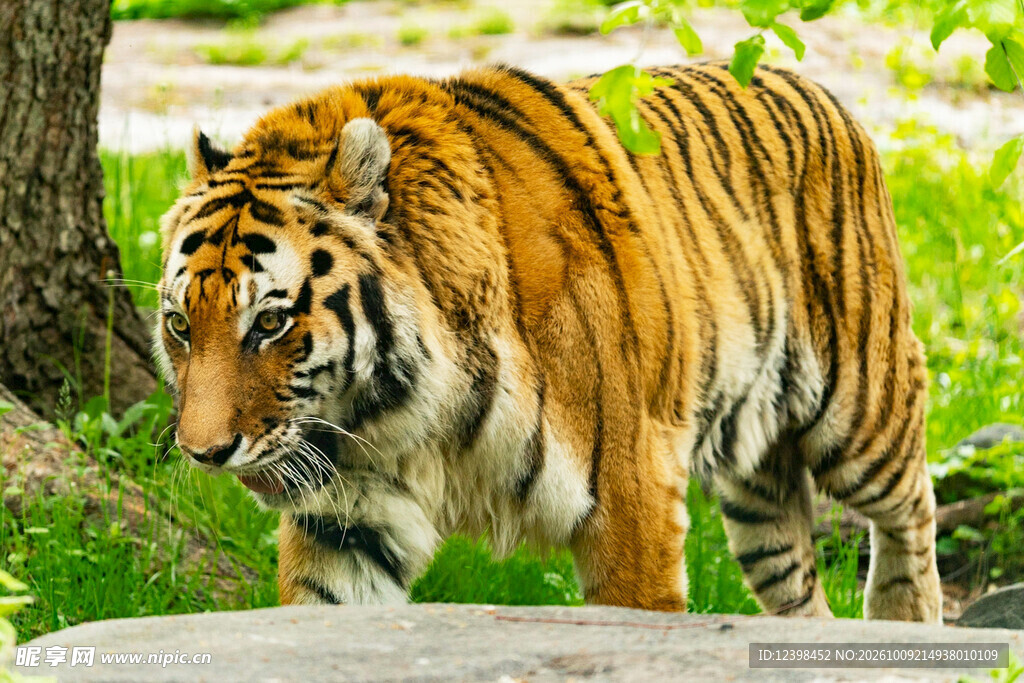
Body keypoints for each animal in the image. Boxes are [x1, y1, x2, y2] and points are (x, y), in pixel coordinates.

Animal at [156, 61, 942, 621]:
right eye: (179, 325)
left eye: (271, 322)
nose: (202, 452)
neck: (399, 413)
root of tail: (807, 83)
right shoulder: (345, 522)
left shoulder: (634, 497)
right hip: (757, 488)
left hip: (860, 409)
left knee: (913, 506)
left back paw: (901, 618)